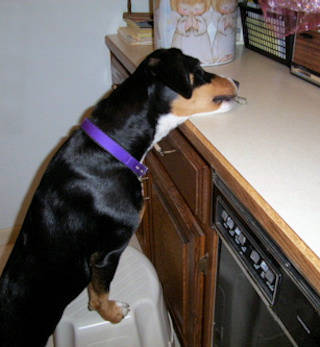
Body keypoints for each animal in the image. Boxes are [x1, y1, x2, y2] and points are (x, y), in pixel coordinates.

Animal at [0, 47, 239, 346]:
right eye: (198, 69)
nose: (237, 81)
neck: (111, 149)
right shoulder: (109, 251)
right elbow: (101, 292)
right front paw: (113, 314)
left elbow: (95, 290)